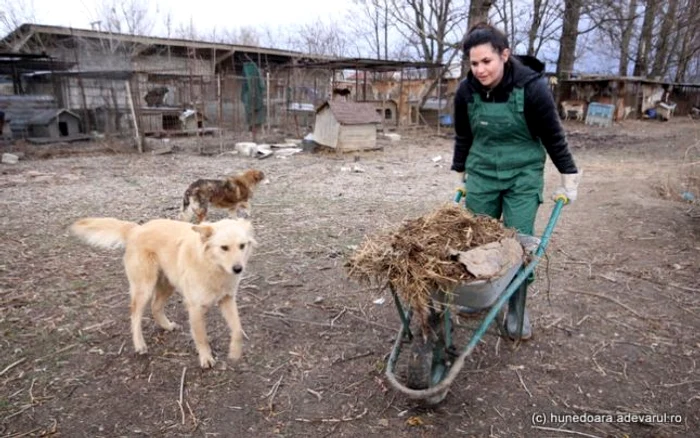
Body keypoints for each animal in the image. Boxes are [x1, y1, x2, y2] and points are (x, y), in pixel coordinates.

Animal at [70, 217, 258, 368]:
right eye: (224, 248)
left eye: (242, 246)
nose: (238, 269)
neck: (212, 266)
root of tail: (136, 229)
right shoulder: (195, 308)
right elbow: (201, 337)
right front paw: (206, 358)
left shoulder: (227, 299)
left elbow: (238, 330)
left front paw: (235, 352)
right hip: (144, 288)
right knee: (135, 314)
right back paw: (139, 344)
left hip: (168, 284)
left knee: (155, 306)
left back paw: (166, 325)